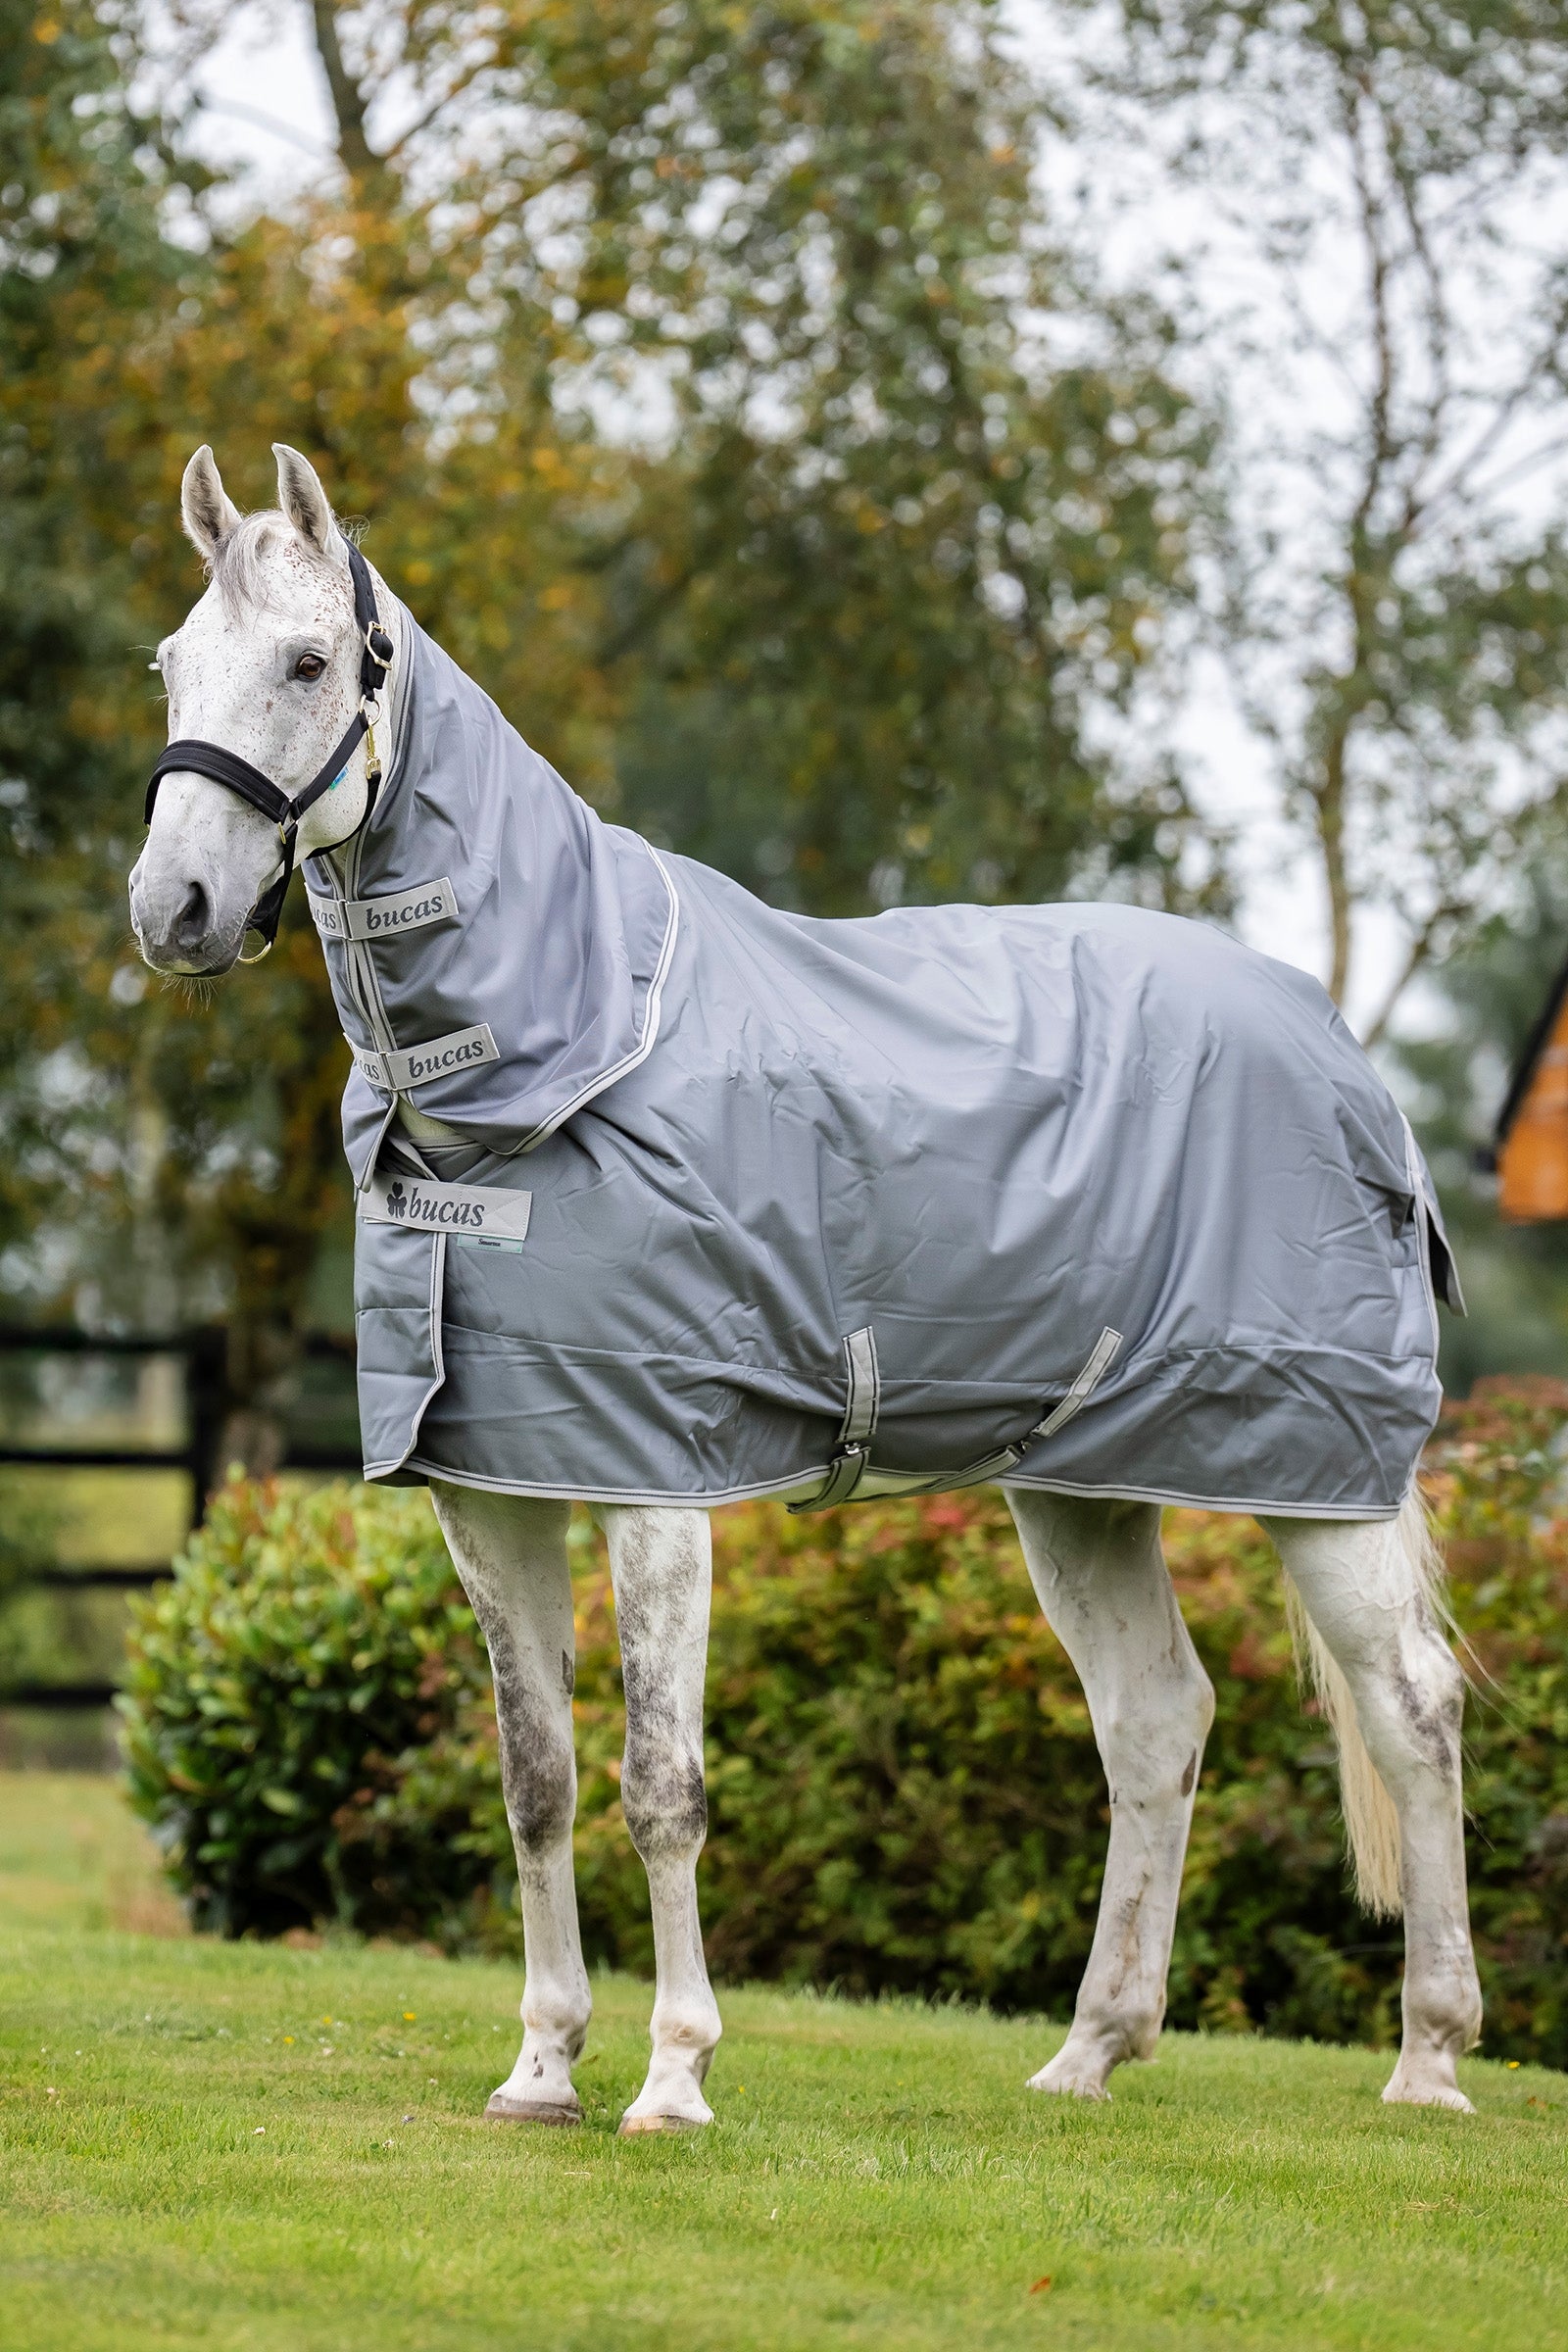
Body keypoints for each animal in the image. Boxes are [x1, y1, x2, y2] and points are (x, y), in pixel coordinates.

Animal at [129, 441, 1483, 2130]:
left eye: (310, 662)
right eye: (172, 663)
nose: (172, 909)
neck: (551, 1060)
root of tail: (1341, 1051)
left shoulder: (654, 1484)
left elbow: (660, 1783)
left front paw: (672, 2078)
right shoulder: (493, 1489)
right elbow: (535, 1780)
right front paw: (541, 2068)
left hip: (1323, 1482)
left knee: (1413, 1710)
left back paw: (1429, 2060)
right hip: (1083, 1492)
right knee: (1156, 1720)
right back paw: (1089, 2053)